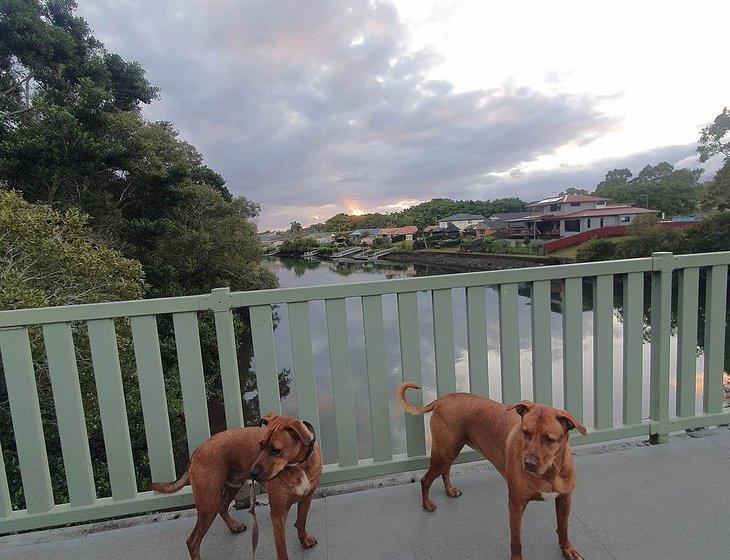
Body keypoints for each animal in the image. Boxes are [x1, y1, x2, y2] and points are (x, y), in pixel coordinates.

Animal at [151, 412, 322, 560]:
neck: (298, 465)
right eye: (260, 445)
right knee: (192, 541)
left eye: (276, 450)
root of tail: (195, 453)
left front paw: (304, 540)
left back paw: (234, 526)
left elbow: (301, 522)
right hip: (209, 504)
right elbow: (282, 551)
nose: (253, 473)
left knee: (222, 508)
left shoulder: (306, 498)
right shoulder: (278, 515)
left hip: (232, 486)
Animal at [396, 382, 584, 560]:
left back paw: (449, 490)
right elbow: (516, 541)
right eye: (525, 432)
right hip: (443, 452)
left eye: (549, 439)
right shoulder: (516, 504)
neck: (549, 473)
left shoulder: (564, 499)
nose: (528, 463)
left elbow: (563, 529)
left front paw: (567, 549)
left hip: (451, 450)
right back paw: (426, 504)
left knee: (446, 470)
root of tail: (442, 399)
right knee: (425, 479)